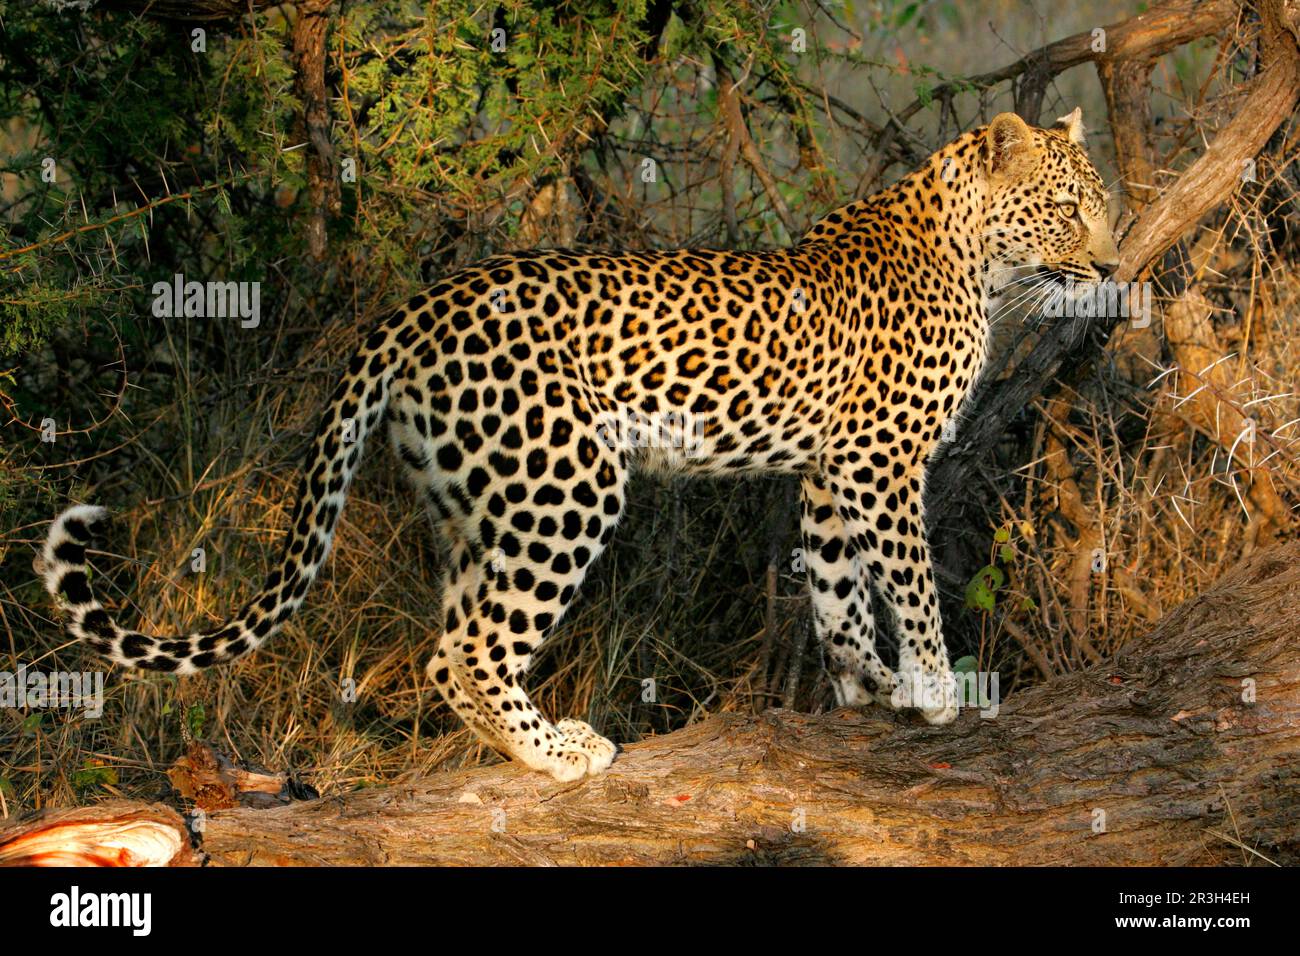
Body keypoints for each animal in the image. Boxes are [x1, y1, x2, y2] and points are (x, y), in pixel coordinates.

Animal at [40, 110, 1118, 785]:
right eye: (1069, 208)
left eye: (1102, 204)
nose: (1112, 263)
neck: (975, 257)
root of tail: (412, 309)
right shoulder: (880, 461)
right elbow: (908, 579)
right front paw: (935, 688)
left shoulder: (828, 467)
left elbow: (837, 589)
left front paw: (870, 690)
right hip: (567, 482)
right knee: (472, 644)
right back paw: (559, 755)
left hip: (478, 501)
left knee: (448, 644)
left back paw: (535, 742)